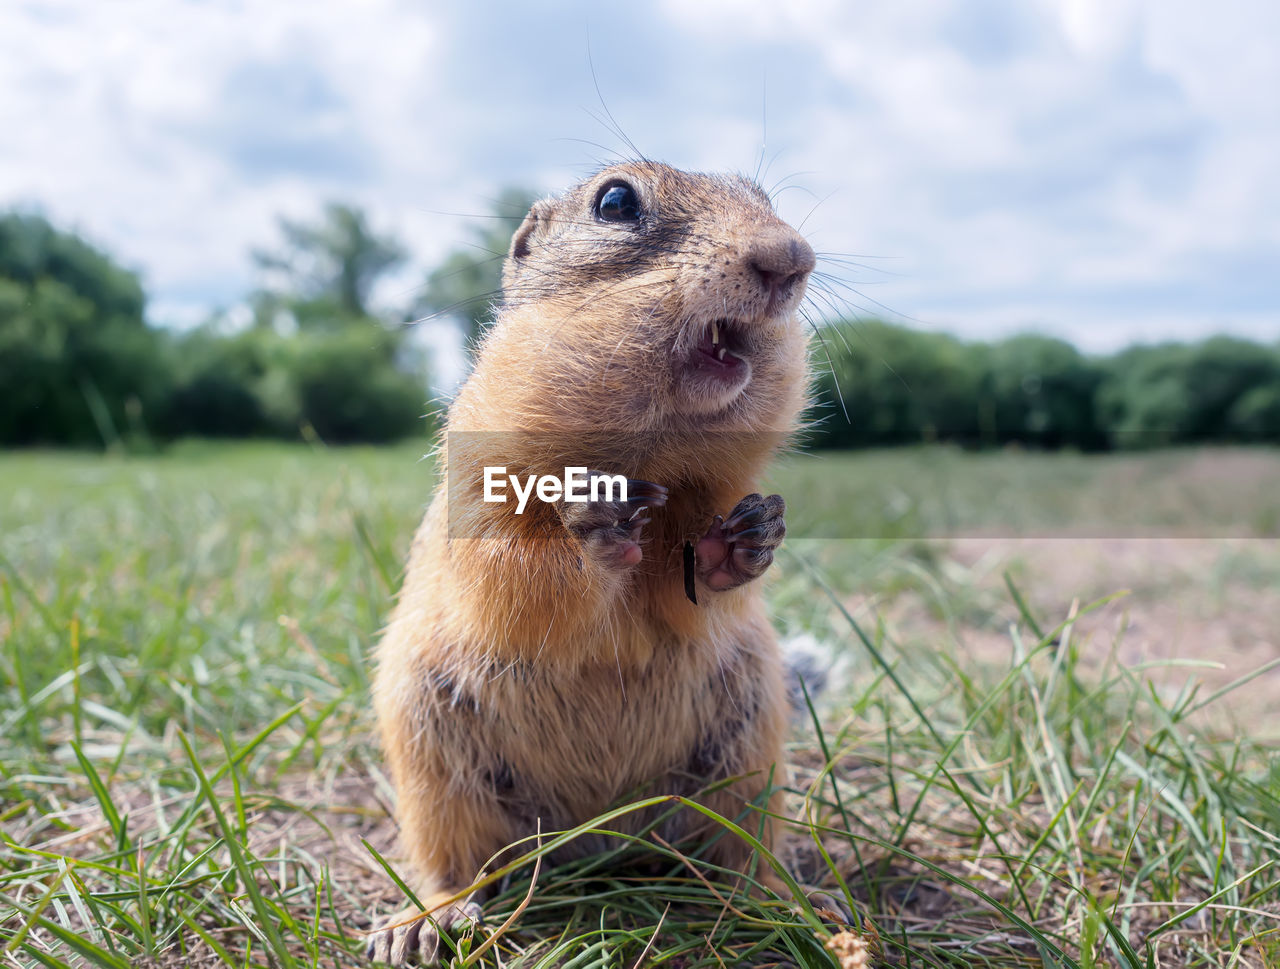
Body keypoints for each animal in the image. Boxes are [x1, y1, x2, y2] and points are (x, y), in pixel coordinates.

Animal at [371, 158, 824, 962]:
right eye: (615, 201)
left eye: (765, 197)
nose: (791, 256)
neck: (653, 454)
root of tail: (601, 838)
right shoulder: (481, 490)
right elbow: (512, 577)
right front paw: (596, 523)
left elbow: (687, 596)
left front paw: (746, 539)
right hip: (432, 759)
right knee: (454, 858)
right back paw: (426, 918)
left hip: (750, 753)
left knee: (737, 844)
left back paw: (771, 899)